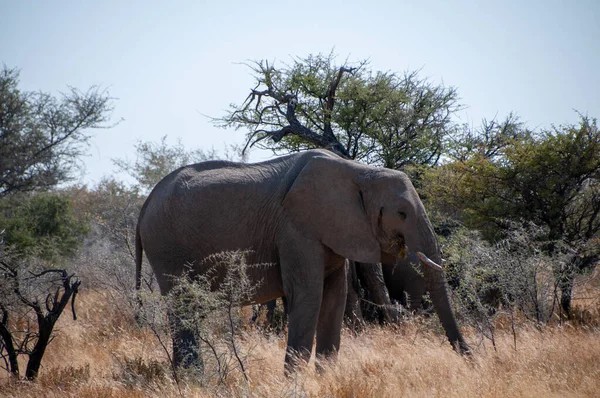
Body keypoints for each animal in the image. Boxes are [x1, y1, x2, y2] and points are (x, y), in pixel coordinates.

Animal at [135, 148, 468, 374]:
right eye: (401, 213)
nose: (471, 358)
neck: (359, 171)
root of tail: (146, 201)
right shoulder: (296, 229)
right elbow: (308, 296)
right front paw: (293, 382)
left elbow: (334, 299)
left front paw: (326, 379)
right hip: (167, 246)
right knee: (182, 307)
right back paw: (195, 379)